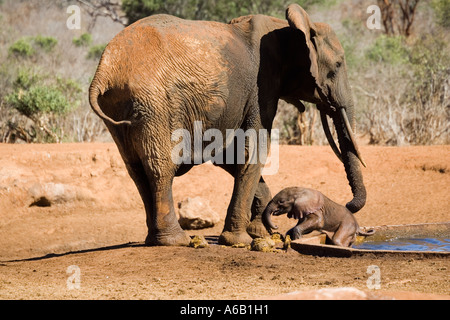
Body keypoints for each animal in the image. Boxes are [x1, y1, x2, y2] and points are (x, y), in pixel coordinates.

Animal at [88, 3, 366, 246]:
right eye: (337, 66)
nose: (348, 204)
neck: (288, 27)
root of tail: (105, 70)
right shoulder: (261, 86)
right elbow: (253, 150)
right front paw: (241, 240)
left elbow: (228, 155)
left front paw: (259, 233)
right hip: (154, 103)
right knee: (161, 167)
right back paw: (175, 240)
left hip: (122, 108)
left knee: (136, 169)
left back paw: (154, 239)